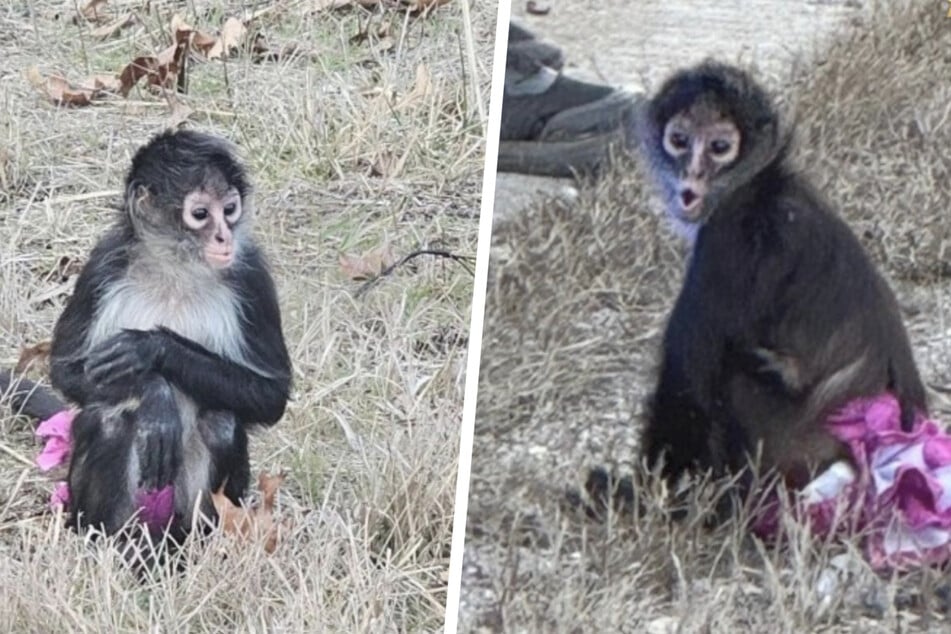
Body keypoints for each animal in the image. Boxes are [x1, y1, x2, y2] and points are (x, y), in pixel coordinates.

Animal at [49, 130, 290, 540]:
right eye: (201, 214)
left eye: (230, 209)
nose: (224, 238)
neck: (176, 270)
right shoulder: (103, 263)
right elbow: (65, 370)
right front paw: (155, 394)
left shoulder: (251, 274)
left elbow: (273, 396)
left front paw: (153, 349)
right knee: (107, 419)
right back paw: (108, 539)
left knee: (221, 424)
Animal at [608, 63, 928, 498]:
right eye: (679, 140)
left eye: (720, 147)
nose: (692, 175)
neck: (758, 184)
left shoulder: (724, 242)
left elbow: (685, 390)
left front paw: (639, 500)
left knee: (736, 371)